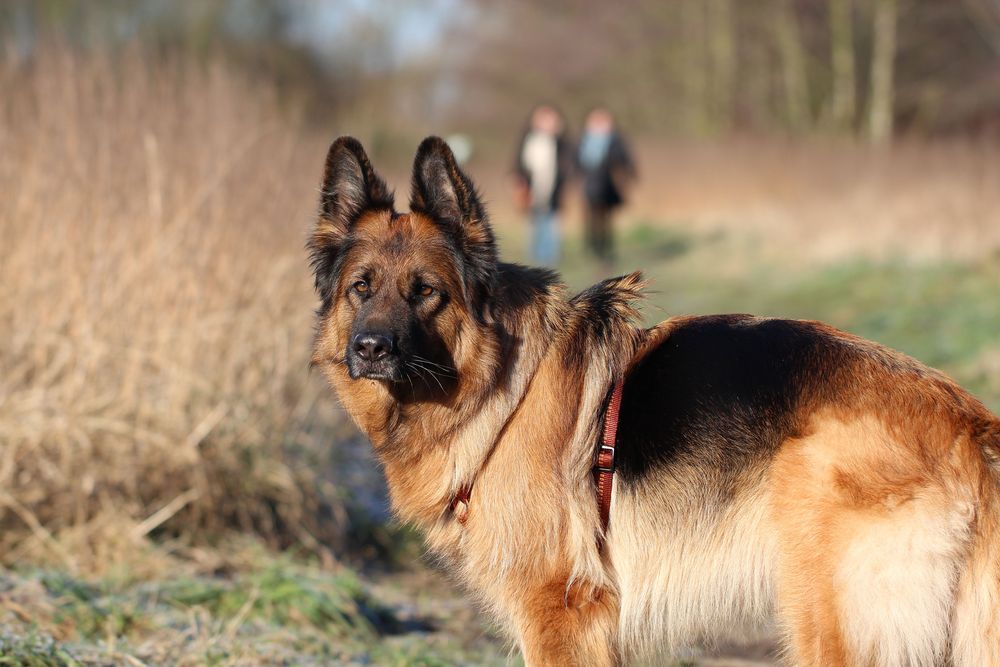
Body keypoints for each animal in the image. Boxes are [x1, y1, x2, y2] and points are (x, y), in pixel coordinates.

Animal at [310, 137, 1000, 667]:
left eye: (426, 291)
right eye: (361, 288)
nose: (370, 348)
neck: (504, 388)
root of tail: (970, 425)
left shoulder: (558, 612)